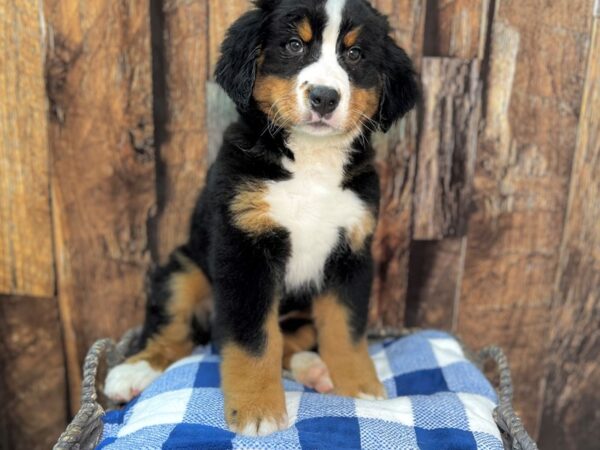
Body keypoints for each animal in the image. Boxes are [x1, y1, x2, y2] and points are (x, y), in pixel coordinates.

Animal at [104, 0, 418, 438]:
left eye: (355, 55)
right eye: (293, 46)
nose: (324, 97)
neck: (311, 164)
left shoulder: (352, 253)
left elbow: (346, 329)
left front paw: (359, 385)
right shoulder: (245, 252)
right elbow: (255, 341)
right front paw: (258, 409)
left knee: (293, 339)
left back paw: (315, 369)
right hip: (184, 268)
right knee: (174, 328)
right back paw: (133, 371)